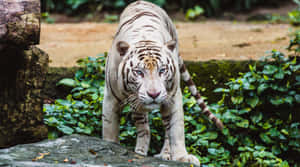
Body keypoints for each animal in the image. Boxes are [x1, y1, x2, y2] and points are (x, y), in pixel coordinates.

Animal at [102, 0, 223, 166]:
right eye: (139, 72)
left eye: (162, 70)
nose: (154, 94)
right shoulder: (110, 98)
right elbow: (110, 130)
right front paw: (110, 147)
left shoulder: (172, 97)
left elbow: (175, 129)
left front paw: (181, 157)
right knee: (143, 127)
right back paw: (140, 151)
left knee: (163, 129)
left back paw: (164, 154)